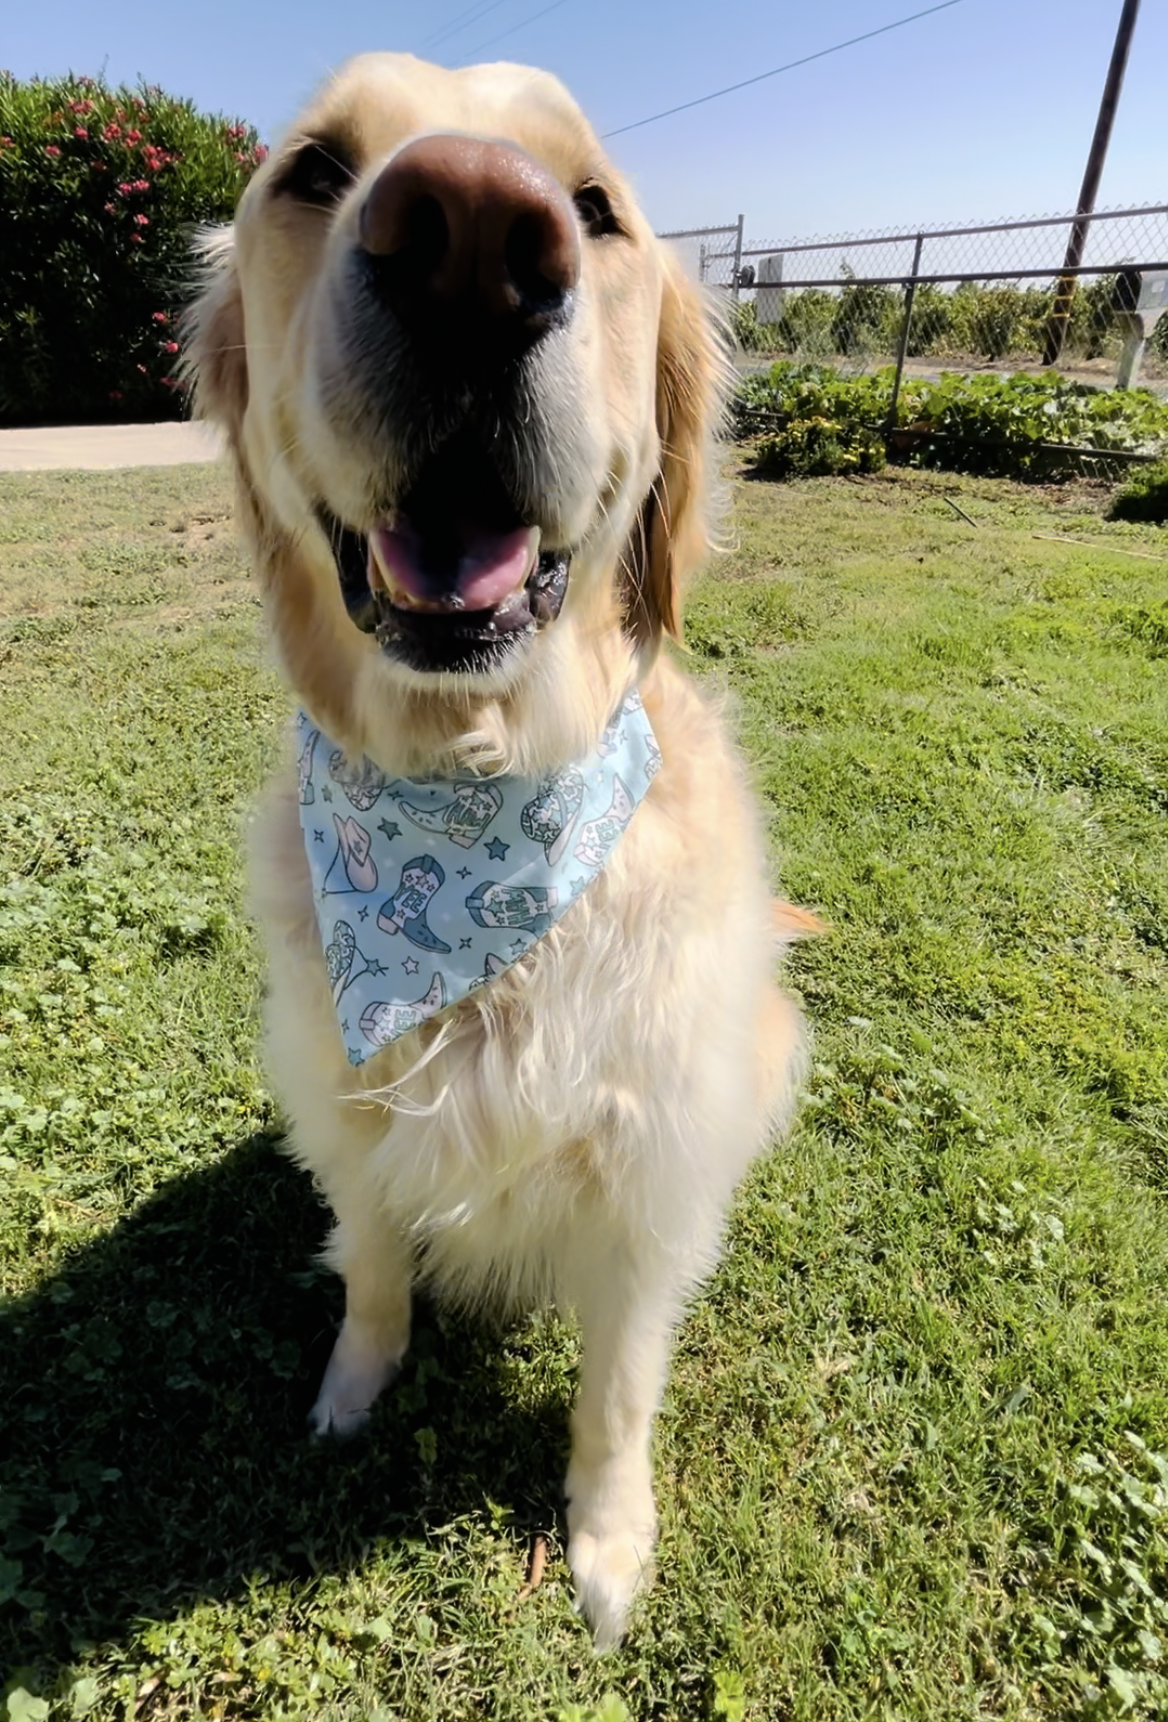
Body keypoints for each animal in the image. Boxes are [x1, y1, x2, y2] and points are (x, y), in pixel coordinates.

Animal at [187, 50, 813, 1639]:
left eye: (593, 207)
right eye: (313, 170)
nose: (472, 238)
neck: (471, 800)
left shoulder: (650, 1190)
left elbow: (617, 1392)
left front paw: (608, 1540)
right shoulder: (344, 1111)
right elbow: (371, 1269)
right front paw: (353, 1388)